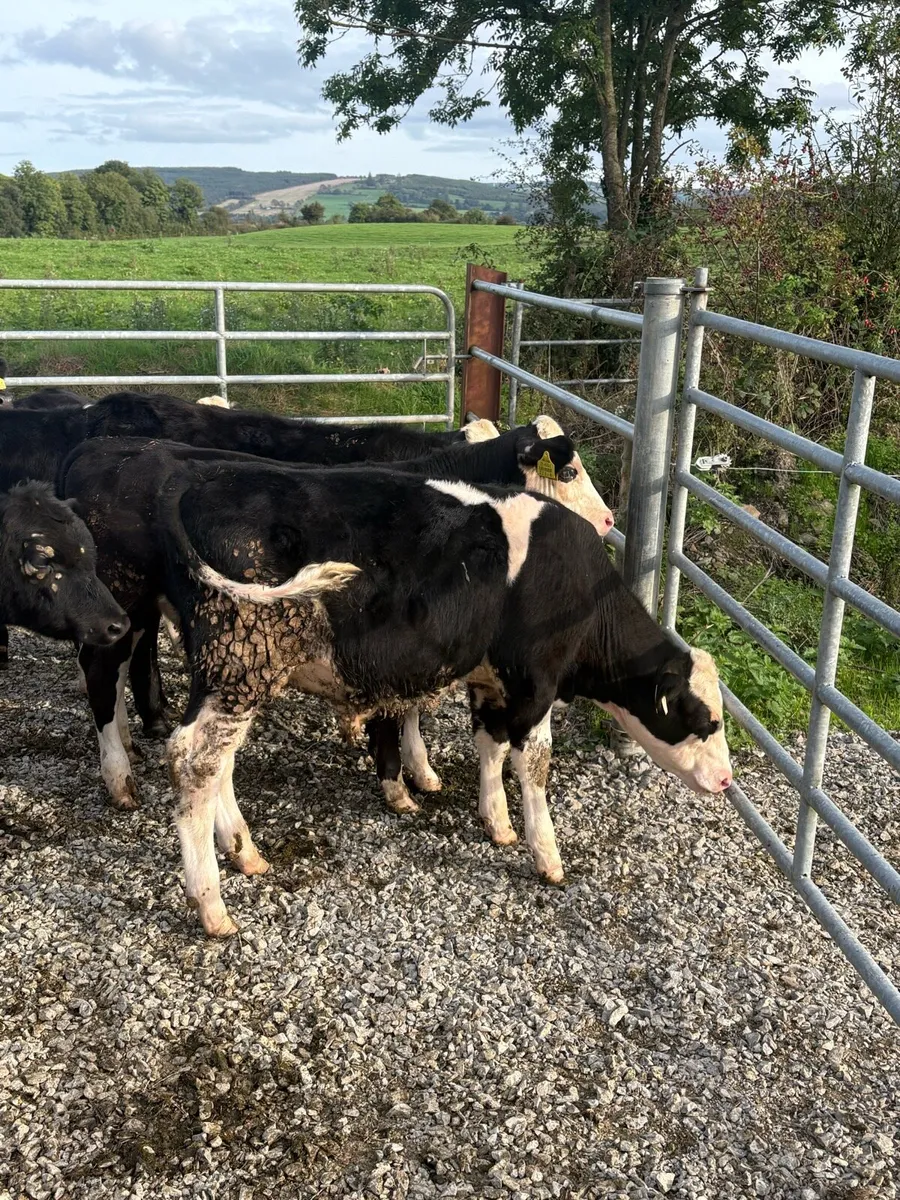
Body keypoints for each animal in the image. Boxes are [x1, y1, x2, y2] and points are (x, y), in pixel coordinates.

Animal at [61, 423, 614, 810]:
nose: (608, 521)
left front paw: (418, 770)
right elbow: (405, 708)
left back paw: (136, 738)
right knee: (101, 671)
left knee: (127, 666)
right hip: (126, 600)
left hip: (145, 610)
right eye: (569, 472)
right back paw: (119, 777)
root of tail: (95, 449)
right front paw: (405, 776)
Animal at [139, 455, 730, 936]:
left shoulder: (490, 680)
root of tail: (198, 482)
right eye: (704, 718)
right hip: (241, 661)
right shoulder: (535, 683)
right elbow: (535, 765)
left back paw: (244, 852)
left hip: (233, 677)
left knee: (218, 764)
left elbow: (490, 744)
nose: (726, 780)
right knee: (193, 759)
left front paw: (497, 822)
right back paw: (211, 905)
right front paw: (546, 852)